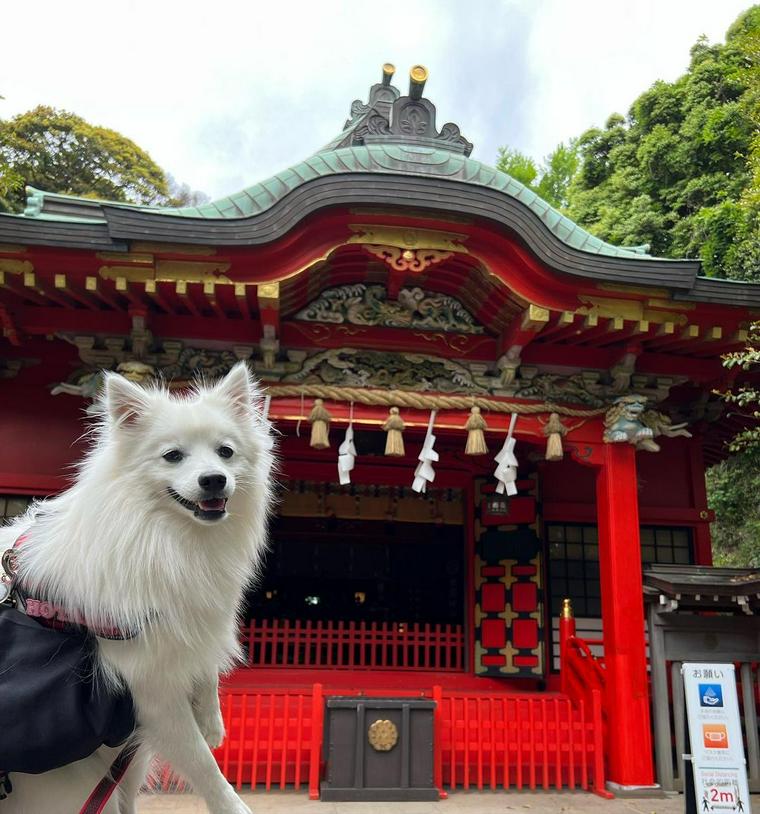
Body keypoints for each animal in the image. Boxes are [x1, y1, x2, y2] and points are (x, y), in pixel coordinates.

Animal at [2, 364, 276, 814]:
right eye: (173, 456)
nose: (214, 480)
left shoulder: (192, 623)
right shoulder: (150, 690)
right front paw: (233, 803)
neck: (170, 537)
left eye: (226, 452)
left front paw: (212, 721)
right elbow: (204, 765)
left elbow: (205, 673)